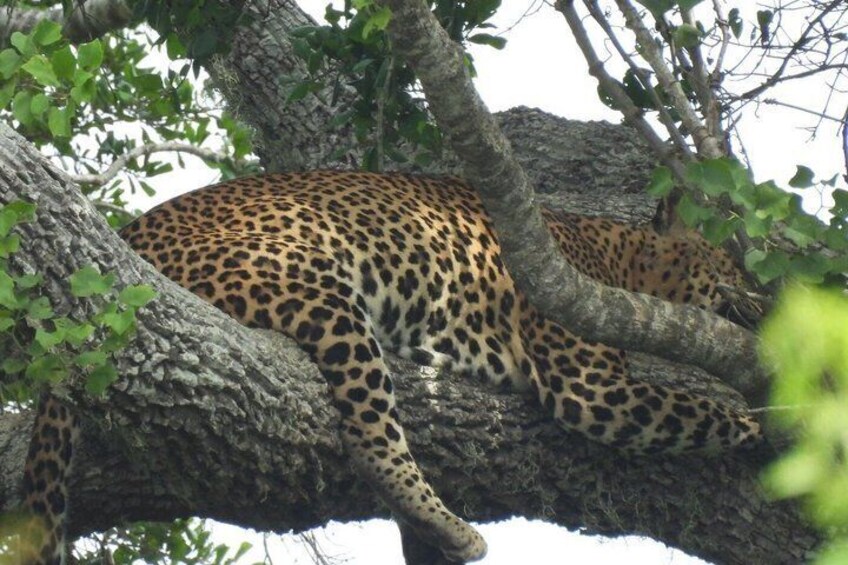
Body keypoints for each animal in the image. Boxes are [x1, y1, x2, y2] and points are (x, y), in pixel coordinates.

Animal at [18, 171, 761, 564]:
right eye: (733, 262)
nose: (763, 292)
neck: (618, 258)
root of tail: (127, 237)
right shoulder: (591, 384)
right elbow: (701, 412)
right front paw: (764, 425)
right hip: (312, 285)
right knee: (375, 438)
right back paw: (451, 526)